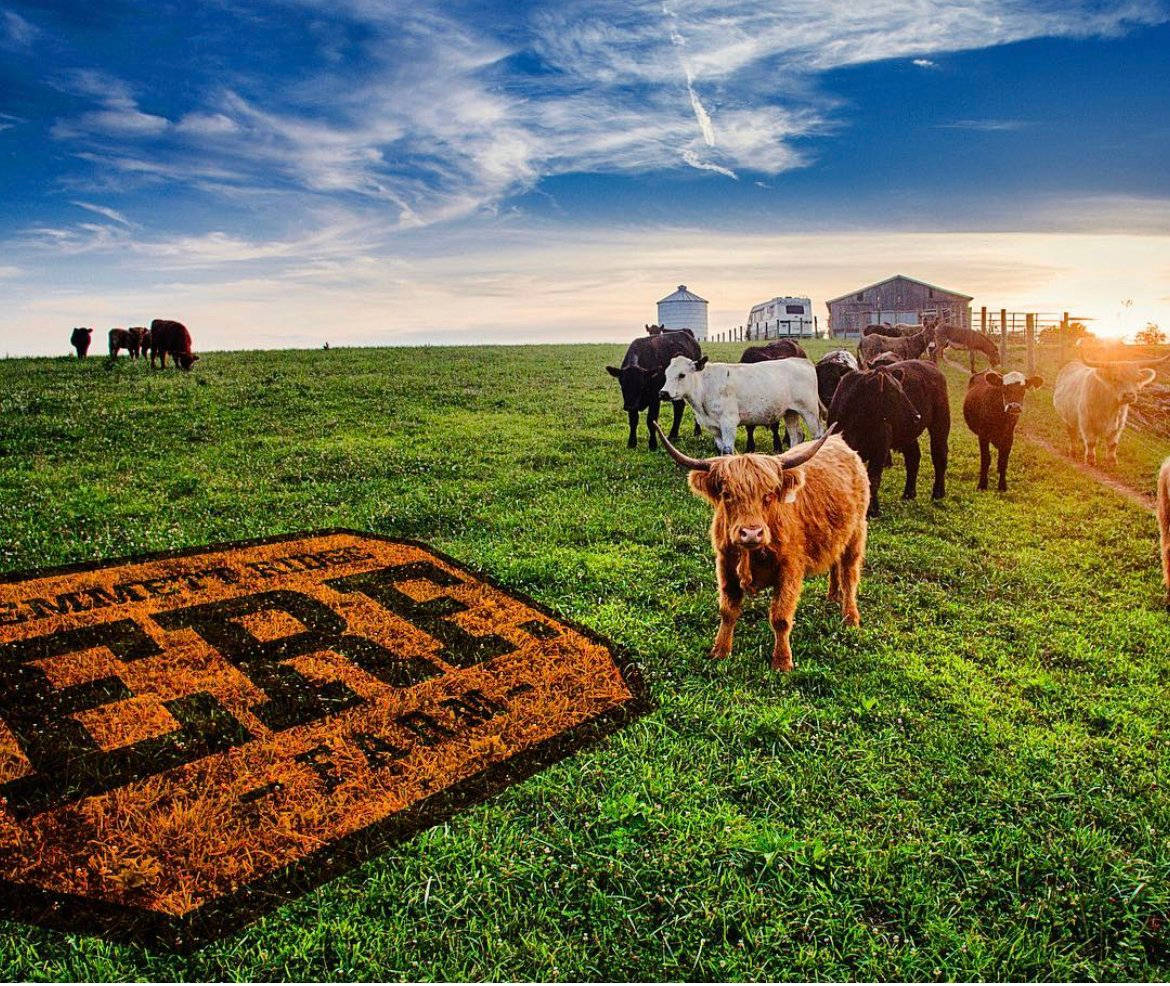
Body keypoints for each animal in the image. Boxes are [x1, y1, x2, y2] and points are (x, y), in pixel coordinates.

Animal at [655, 421, 875, 673]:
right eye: (727, 494)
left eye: (768, 495)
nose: (751, 533)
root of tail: (840, 442)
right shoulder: (725, 565)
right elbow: (727, 611)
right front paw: (720, 651)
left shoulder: (790, 569)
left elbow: (780, 617)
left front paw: (782, 662)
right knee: (835, 562)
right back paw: (832, 596)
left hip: (856, 532)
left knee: (849, 574)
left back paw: (850, 618)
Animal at [659, 355, 823, 456]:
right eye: (666, 374)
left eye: (682, 375)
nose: (663, 393)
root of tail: (801, 361)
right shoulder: (714, 427)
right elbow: (721, 449)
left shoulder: (729, 422)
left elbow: (728, 450)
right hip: (790, 412)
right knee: (796, 435)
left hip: (810, 412)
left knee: (817, 436)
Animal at [833, 360, 950, 516]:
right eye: (893, 392)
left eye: (901, 389)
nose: (917, 416)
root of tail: (929, 364)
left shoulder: (880, 450)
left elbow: (874, 478)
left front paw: (873, 510)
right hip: (907, 435)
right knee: (913, 458)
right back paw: (908, 494)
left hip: (940, 424)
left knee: (939, 455)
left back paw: (938, 493)